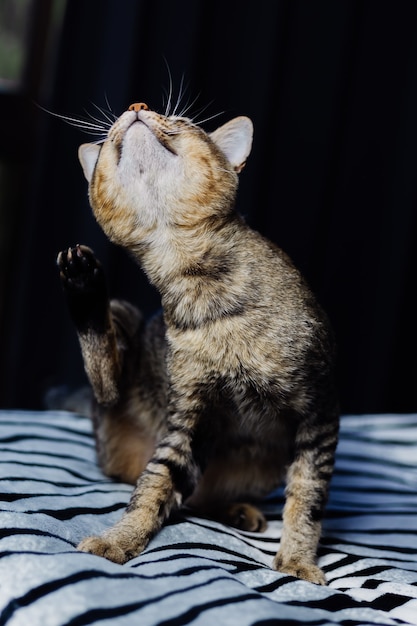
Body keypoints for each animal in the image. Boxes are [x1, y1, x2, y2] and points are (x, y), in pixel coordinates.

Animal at [57, 100, 336, 584]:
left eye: (181, 121)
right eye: (109, 138)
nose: (137, 106)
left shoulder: (319, 411)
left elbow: (307, 498)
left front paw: (299, 561)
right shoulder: (187, 420)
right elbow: (153, 488)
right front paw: (120, 540)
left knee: (203, 495)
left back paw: (239, 511)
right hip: (119, 353)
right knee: (107, 384)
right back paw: (84, 286)